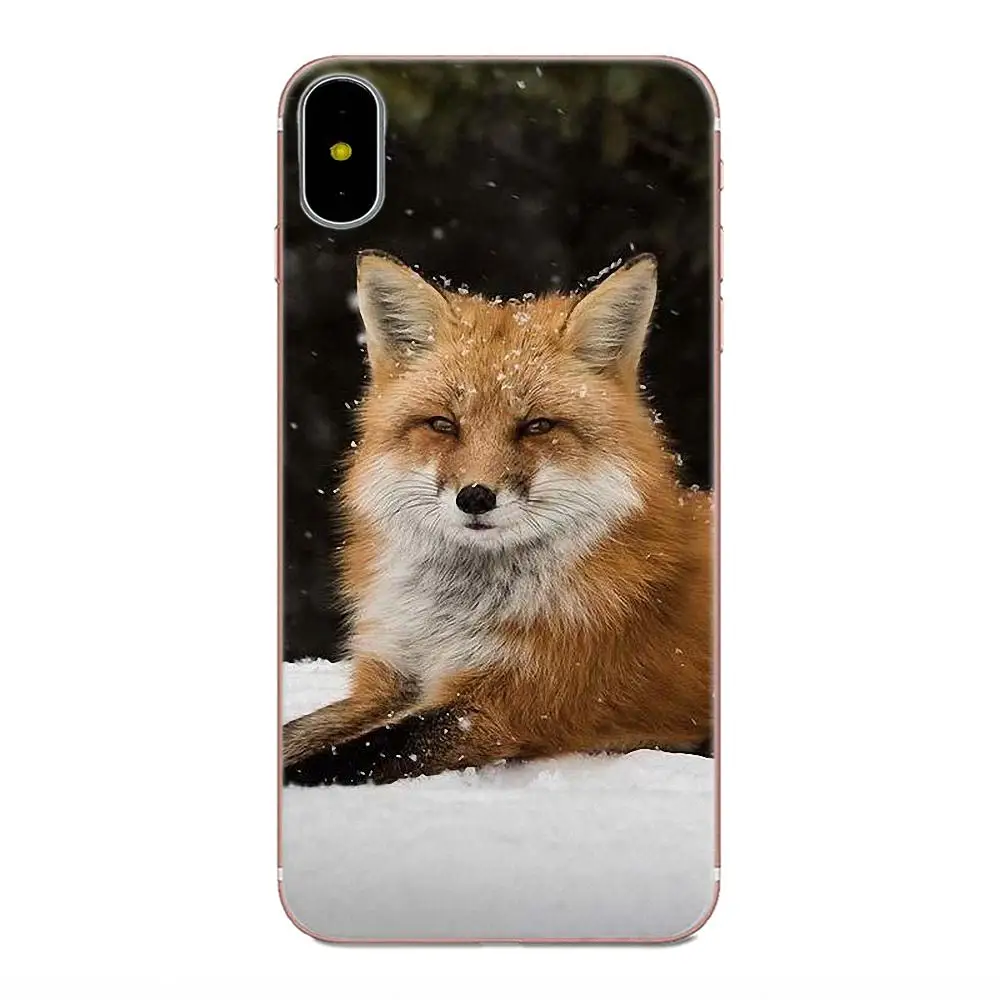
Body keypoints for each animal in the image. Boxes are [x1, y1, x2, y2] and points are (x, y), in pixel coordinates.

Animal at [283, 249, 714, 786]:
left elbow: (350, 755)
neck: (452, 614)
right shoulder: (388, 678)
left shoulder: (503, 705)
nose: (475, 497)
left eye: (537, 426)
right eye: (443, 425)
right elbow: (297, 733)